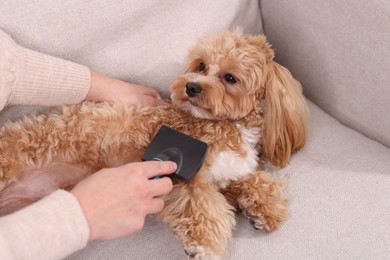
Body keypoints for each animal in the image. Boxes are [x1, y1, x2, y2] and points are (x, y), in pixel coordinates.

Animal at [0, 29, 308, 258]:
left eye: (230, 78)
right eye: (201, 65)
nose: (191, 86)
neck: (228, 125)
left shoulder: (227, 172)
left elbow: (256, 181)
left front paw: (265, 209)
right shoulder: (190, 179)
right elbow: (203, 206)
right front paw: (204, 246)